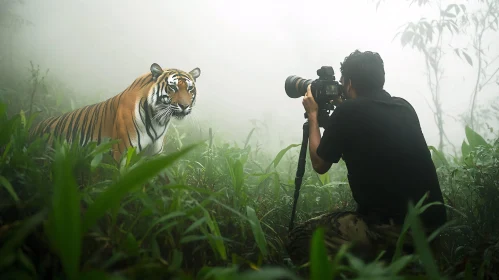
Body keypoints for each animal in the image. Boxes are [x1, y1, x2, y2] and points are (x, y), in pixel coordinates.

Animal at [28, 62, 201, 163]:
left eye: (190, 89)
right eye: (173, 88)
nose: (184, 106)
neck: (159, 121)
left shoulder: (152, 158)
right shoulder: (121, 153)